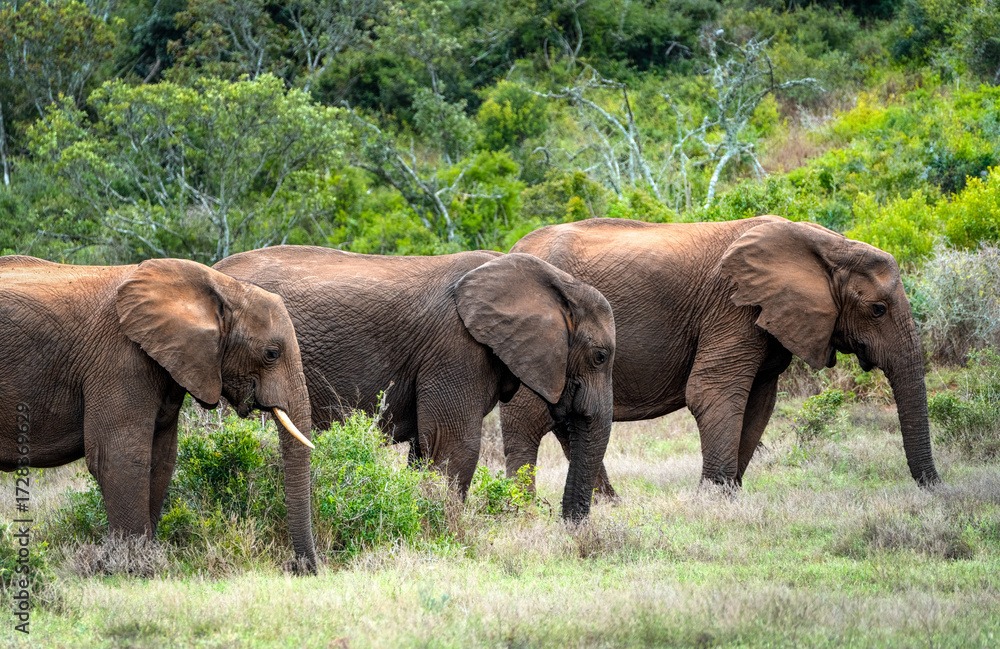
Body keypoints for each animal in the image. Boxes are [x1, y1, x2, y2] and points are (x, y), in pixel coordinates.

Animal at [0, 256, 318, 572]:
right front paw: (133, 570)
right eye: (271, 354)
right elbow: (119, 457)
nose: (296, 567)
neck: (222, 288)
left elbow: (162, 458)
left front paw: (142, 561)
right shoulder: (121, 359)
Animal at [214, 247, 616, 520]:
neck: (552, 282)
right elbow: (455, 446)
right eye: (600, 357)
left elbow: (425, 450)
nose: (566, 524)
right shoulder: (456, 348)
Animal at [500, 215, 941, 495]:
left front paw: (730, 494)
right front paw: (712, 498)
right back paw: (522, 507)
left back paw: (610, 504)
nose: (937, 488)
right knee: (527, 420)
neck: (826, 244)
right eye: (878, 310)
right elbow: (712, 392)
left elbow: (760, 402)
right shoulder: (733, 307)